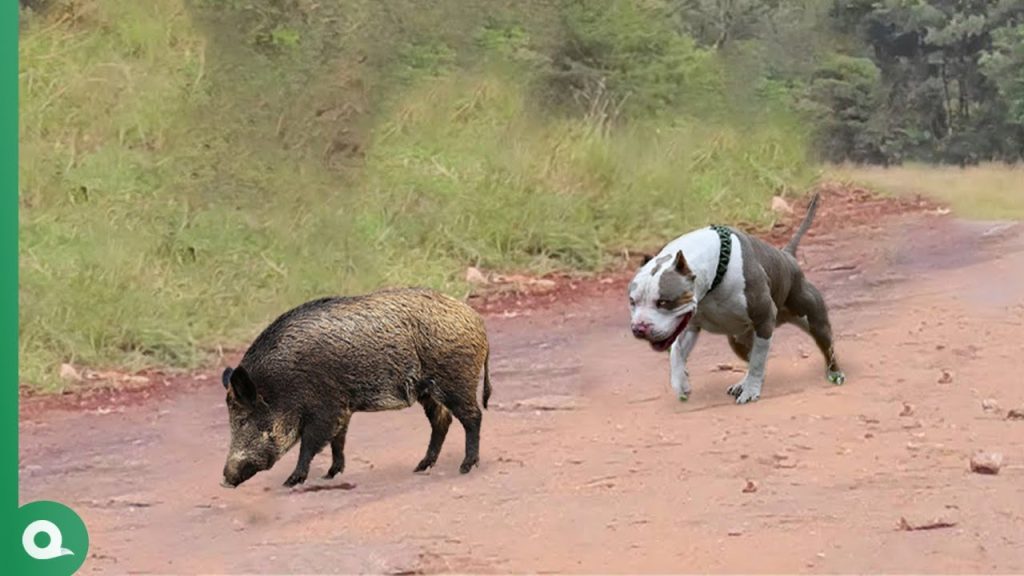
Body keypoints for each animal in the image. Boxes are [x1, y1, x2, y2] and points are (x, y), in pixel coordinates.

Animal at [220, 287, 492, 488]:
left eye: (243, 420)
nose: (225, 480)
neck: (280, 386)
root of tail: (478, 322)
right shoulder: (342, 408)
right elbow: (338, 440)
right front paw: (331, 474)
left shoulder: (326, 407)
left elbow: (312, 442)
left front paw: (291, 481)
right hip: (428, 391)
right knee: (442, 421)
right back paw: (421, 466)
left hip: (456, 381)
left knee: (473, 417)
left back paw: (465, 467)